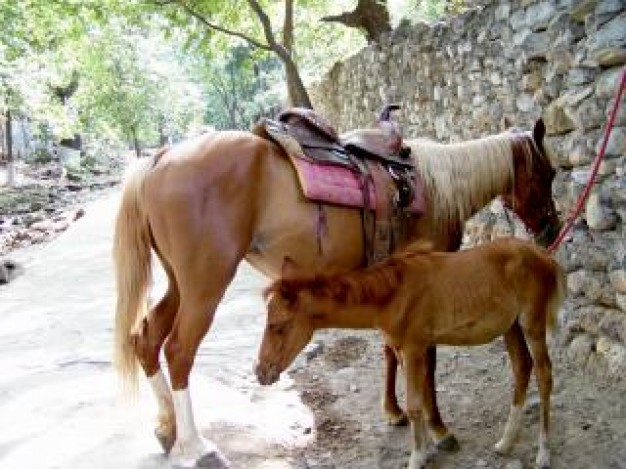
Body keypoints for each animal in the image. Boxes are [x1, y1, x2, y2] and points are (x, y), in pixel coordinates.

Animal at [255, 238, 564, 468]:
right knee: (522, 367)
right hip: (511, 327)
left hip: (532, 323)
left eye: (278, 326)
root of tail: (545, 257)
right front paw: (426, 448)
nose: (261, 372)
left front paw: (417, 457)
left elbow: (415, 404)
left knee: (544, 374)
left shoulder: (414, 347)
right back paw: (505, 443)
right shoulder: (405, 350)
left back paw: (543, 454)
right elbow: (419, 399)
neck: (393, 294)